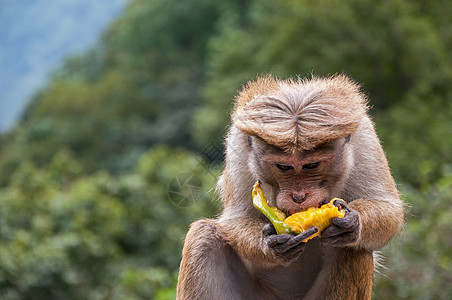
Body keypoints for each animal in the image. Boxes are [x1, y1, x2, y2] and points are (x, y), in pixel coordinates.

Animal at [176, 74, 402, 298]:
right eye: (284, 167)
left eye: (312, 165)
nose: (299, 196)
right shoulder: (238, 145)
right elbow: (236, 218)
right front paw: (270, 244)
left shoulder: (364, 136)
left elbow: (388, 208)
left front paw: (352, 223)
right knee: (204, 236)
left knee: (351, 248)